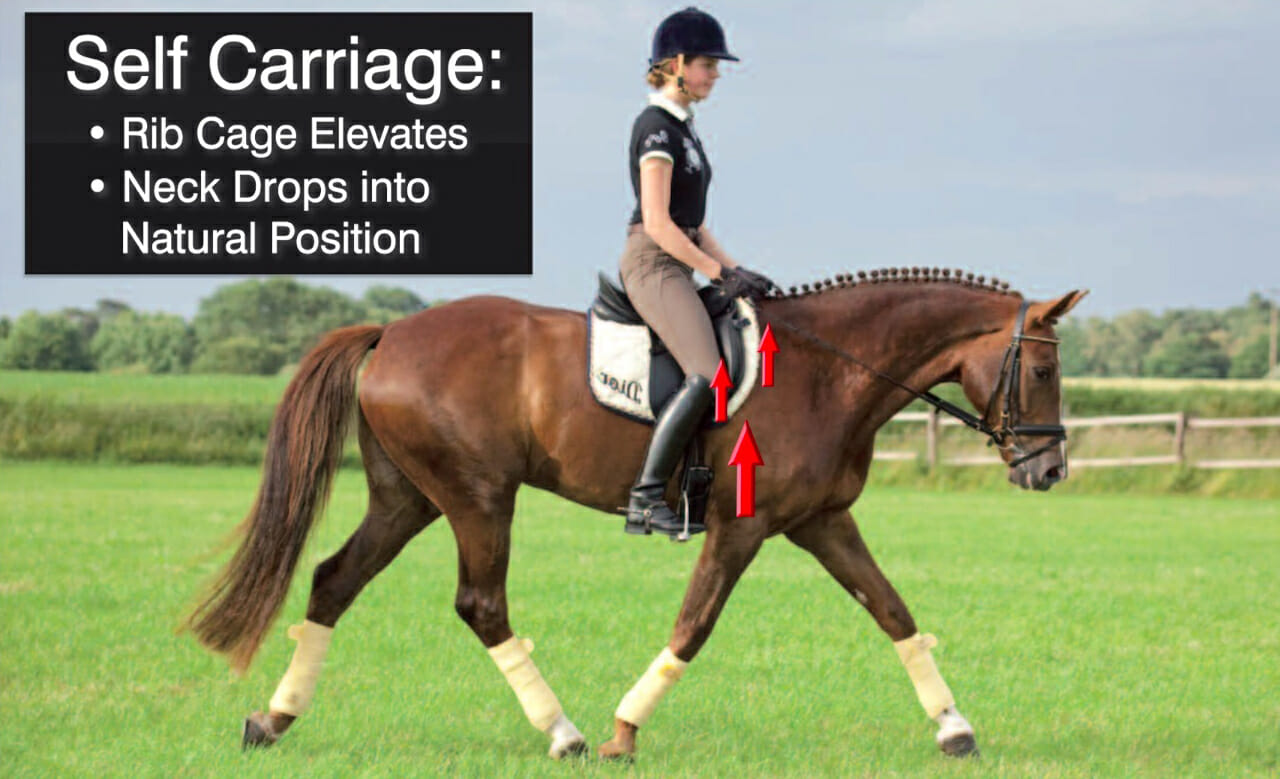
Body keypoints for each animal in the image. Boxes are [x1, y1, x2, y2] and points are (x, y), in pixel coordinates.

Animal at [186, 267, 1086, 760]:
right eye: (1043, 371)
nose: (1048, 470)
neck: (830, 372)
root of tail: (393, 332)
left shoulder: (822, 521)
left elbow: (894, 610)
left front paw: (954, 728)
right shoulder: (742, 527)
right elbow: (695, 623)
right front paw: (624, 731)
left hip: (409, 497)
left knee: (333, 580)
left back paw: (273, 718)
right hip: (478, 496)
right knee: (481, 604)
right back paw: (565, 733)